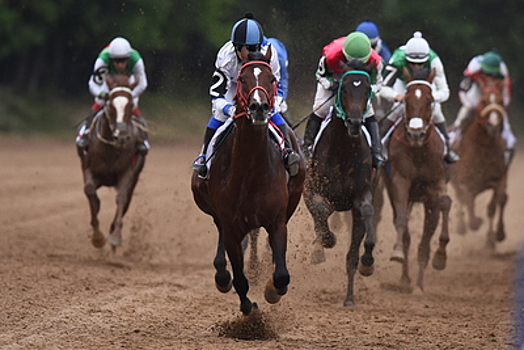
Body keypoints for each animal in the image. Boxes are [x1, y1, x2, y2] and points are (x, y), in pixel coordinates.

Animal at [76, 74, 145, 252]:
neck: (110, 149)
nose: (121, 136)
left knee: (126, 201)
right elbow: (90, 193)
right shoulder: (88, 168)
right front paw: (97, 237)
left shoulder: (128, 172)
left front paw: (115, 237)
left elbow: (122, 198)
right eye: (110, 104)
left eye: (131, 105)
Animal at [191, 50, 308, 316]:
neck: (250, 169)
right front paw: (249, 308)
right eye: (242, 78)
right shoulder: (230, 225)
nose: (259, 107)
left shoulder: (277, 220)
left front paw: (272, 290)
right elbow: (239, 277)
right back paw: (222, 275)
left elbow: (281, 275)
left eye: (272, 78)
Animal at [302, 60, 376, 306]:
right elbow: (321, 211)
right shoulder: (312, 192)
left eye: (367, 89)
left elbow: (366, 214)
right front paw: (326, 241)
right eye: (343, 90)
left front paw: (366, 264)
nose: (354, 122)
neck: (344, 150)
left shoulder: (362, 195)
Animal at [380, 67, 450, 292]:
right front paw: (397, 253)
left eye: (429, 101)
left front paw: (440, 257)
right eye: (406, 101)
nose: (416, 133)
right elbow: (402, 219)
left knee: (426, 235)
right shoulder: (400, 180)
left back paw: (419, 283)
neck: (419, 150)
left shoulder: (436, 182)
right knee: (406, 230)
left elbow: (444, 204)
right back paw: (406, 278)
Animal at [450, 75, 508, 247]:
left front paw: (497, 235)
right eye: (483, 101)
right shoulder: (466, 181)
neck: (484, 148)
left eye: (501, 101)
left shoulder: (499, 177)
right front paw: (474, 223)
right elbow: (468, 199)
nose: (494, 124)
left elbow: (497, 201)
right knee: (462, 198)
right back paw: (462, 225)